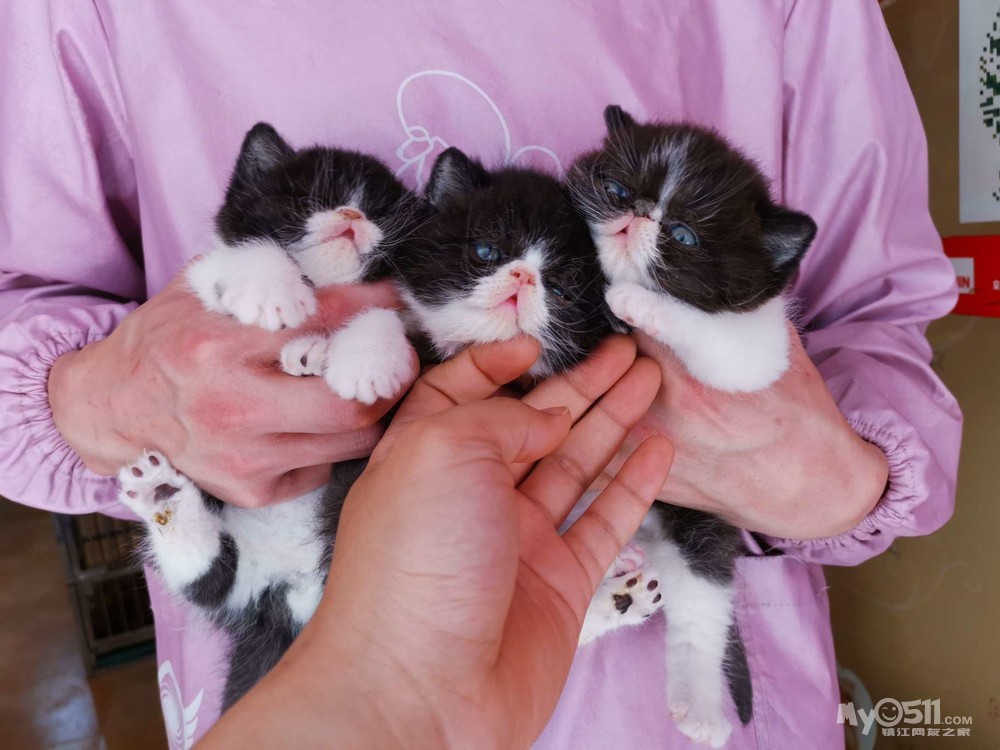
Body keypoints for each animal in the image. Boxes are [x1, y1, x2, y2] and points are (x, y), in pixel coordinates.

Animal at [119, 129, 616, 712]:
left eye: (562, 290)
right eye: (487, 252)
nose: (352, 213)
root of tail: (293, 599)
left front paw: (359, 362)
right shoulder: (201, 278)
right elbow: (233, 258)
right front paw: (274, 296)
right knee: (212, 576)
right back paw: (164, 497)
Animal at [568, 107, 816, 750]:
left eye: (682, 236)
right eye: (616, 190)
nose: (638, 212)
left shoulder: (757, 350)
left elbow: (708, 332)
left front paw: (635, 299)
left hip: (701, 523)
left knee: (701, 606)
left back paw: (696, 705)